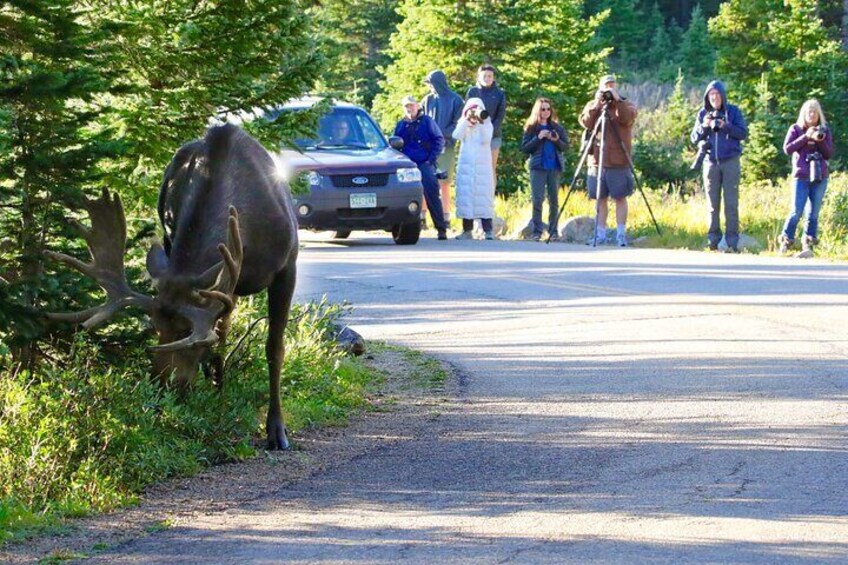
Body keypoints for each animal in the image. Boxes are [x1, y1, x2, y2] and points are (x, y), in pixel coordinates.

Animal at [46, 124, 300, 450]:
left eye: (185, 333)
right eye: (156, 327)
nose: (159, 386)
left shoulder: (287, 266)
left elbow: (274, 348)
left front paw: (276, 429)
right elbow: (219, 335)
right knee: (224, 329)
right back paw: (218, 390)